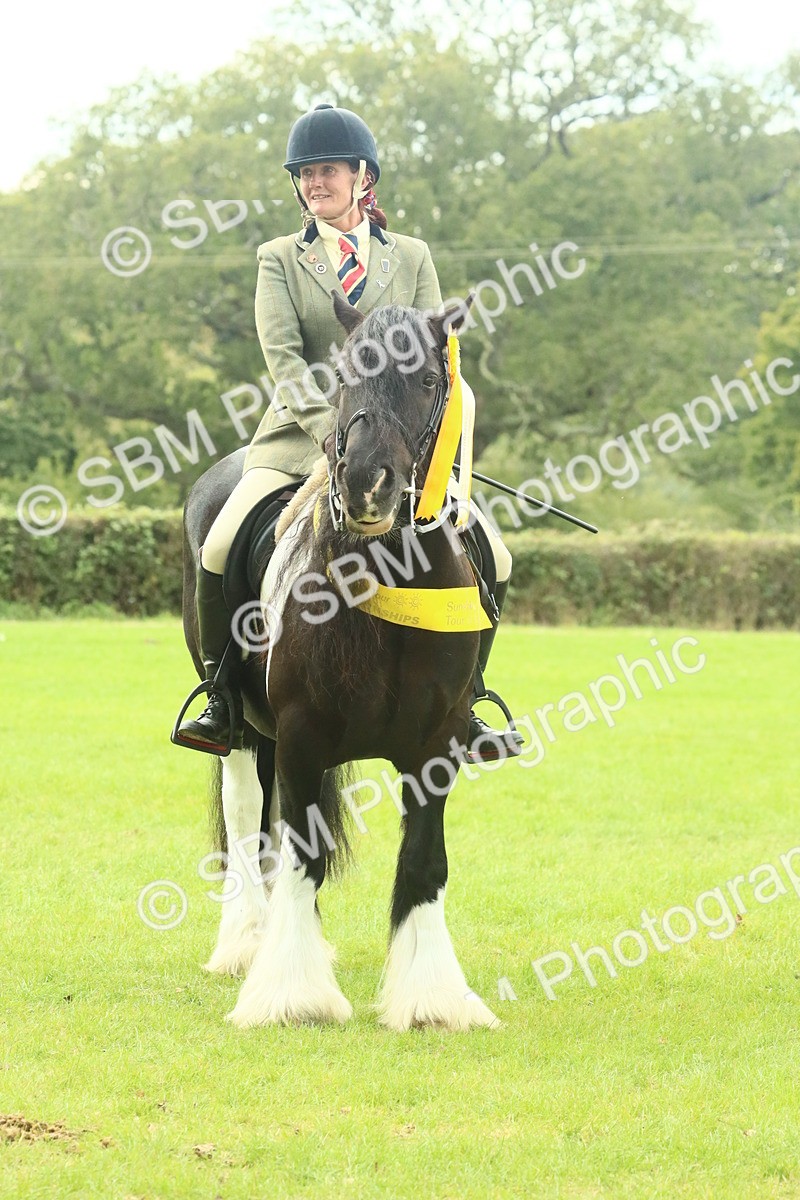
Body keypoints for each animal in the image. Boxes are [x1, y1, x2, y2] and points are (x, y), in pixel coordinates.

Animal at [179, 293, 500, 1030]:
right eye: (345, 375)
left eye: (430, 381)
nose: (365, 486)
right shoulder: (302, 733)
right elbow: (301, 856)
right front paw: (292, 994)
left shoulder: (436, 743)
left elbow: (423, 863)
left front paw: (431, 999)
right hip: (246, 728)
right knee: (247, 811)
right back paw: (247, 943)